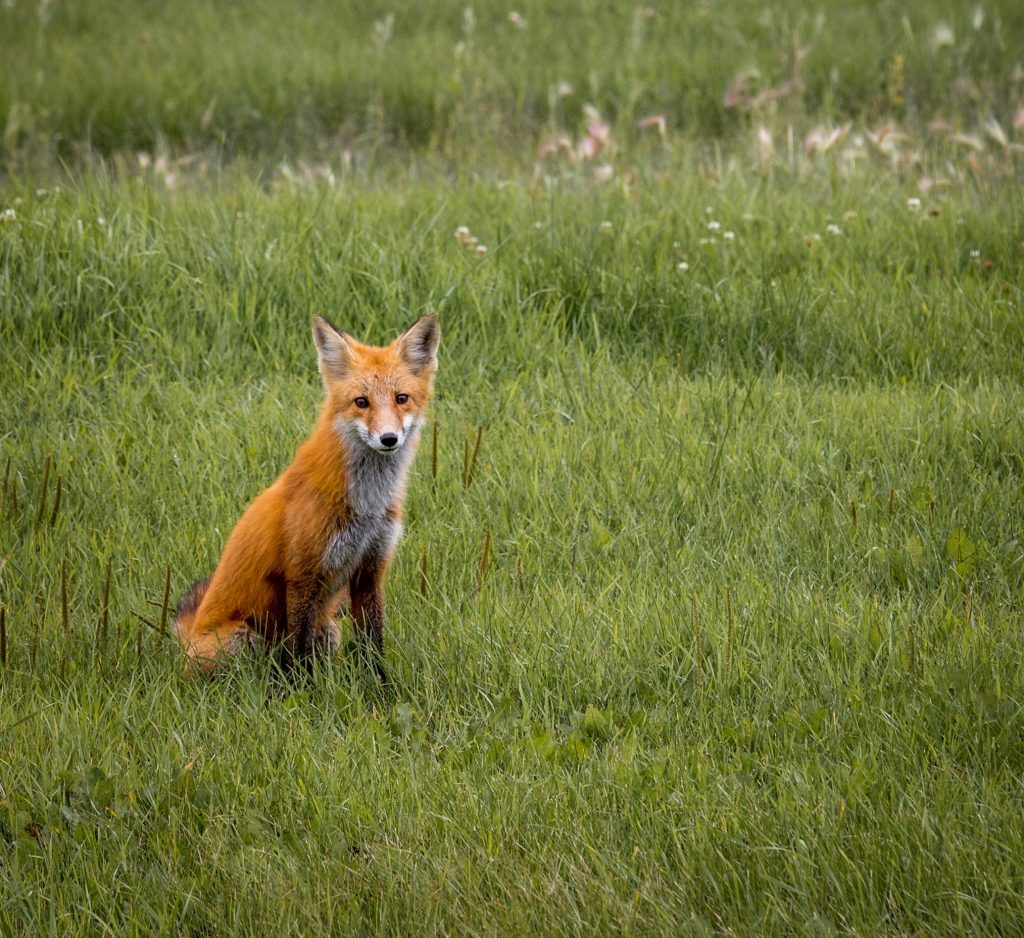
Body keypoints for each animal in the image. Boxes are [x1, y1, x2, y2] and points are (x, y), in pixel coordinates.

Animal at [174, 312, 440, 677]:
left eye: (402, 398)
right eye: (361, 402)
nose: (388, 439)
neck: (368, 505)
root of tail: (187, 639)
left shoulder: (371, 569)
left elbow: (373, 646)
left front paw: (380, 688)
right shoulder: (302, 575)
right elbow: (298, 655)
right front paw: (302, 691)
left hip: (328, 631)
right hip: (245, 639)